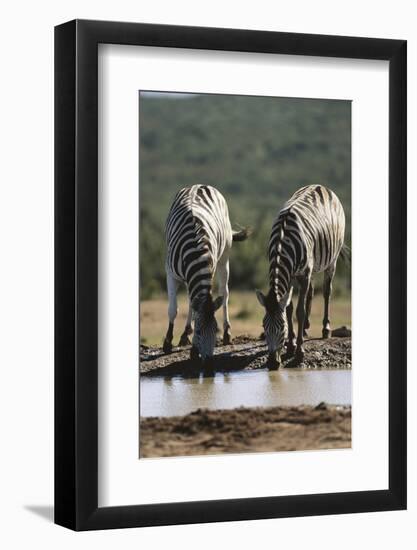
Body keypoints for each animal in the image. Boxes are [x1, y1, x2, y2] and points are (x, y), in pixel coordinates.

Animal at [162, 185, 247, 362]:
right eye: (200, 331)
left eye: (215, 330)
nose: (206, 360)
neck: (195, 250)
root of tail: (199, 185)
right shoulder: (170, 273)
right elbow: (173, 309)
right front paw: (168, 342)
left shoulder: (210, 269)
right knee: (190, 300)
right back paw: (184, 334)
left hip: (224, 257)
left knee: (224, 292)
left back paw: (227, 333)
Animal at [255, 187, 346, 370]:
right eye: (263, 327)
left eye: (282, 328)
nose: (272, 364)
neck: (282, 240)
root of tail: (320, 186)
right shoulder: (291, 276)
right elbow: (289, 309)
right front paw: (291, 345)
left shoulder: (304, 274)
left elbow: (299, 311)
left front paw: (299, 352)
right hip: (311, 267)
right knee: (311, 291)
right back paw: (305, 329)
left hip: (331, 260)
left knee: (327, 291)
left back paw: (325, 329)